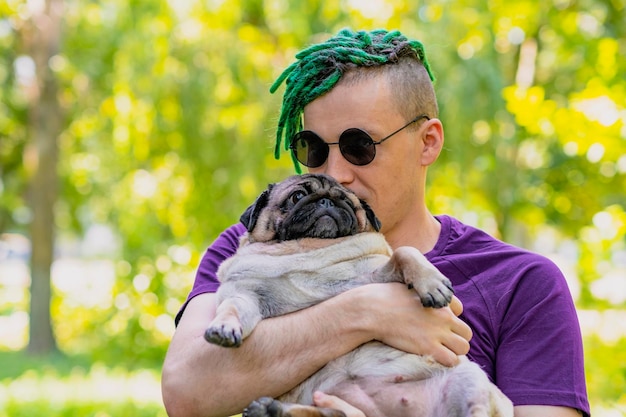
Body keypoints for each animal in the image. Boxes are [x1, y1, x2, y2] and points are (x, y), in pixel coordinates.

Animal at [205, 173, 512, 416]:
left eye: (347, 201)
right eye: (298, 196)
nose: (327, 201)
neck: (305, 250)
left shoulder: (372, 276)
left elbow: (405, 251)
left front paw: (432, 283)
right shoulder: (246, 294)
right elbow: (232, 308)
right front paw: (224, 327)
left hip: (469, 380)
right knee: (332, 413)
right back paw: (273, 409)